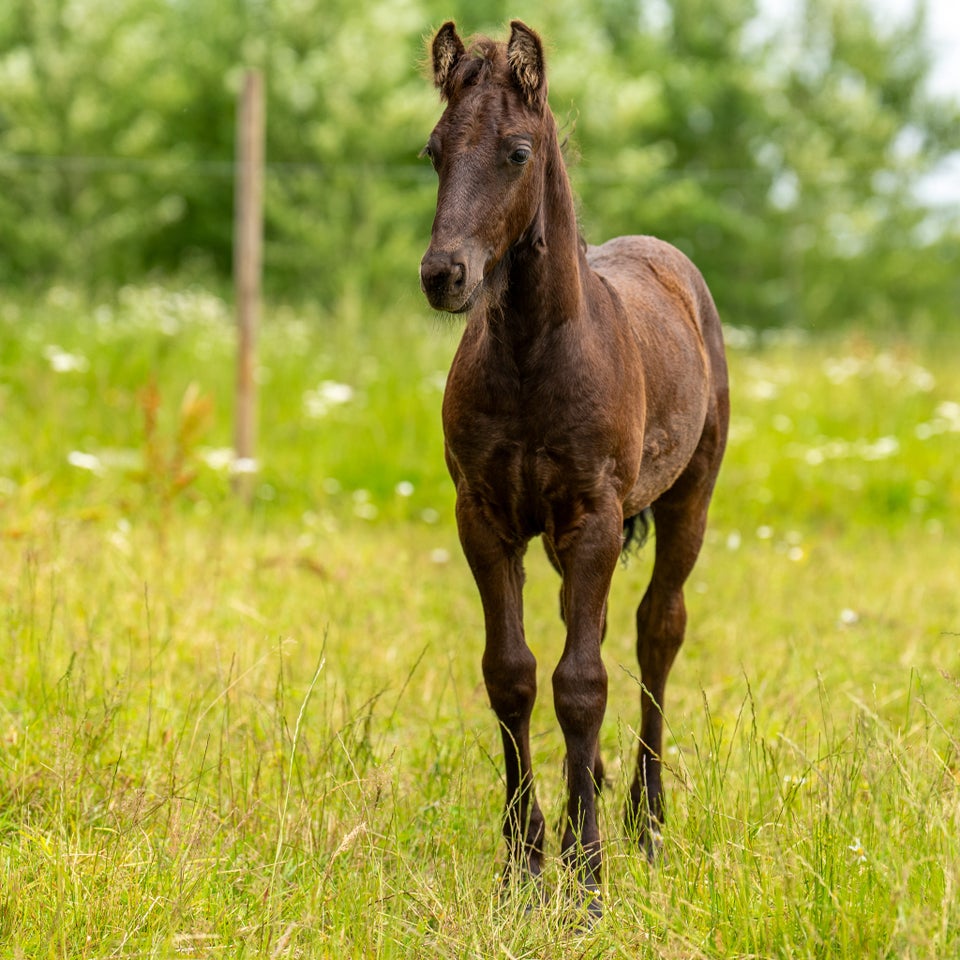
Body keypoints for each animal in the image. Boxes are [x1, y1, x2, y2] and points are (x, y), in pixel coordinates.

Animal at [418, 22, 728, 920]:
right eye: (433, 150)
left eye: (517, 152)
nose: (443, 275)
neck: (534, 352)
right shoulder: (485, 518)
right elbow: (515, 675)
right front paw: (524, 866)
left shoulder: (594, 518)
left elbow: (583, 682)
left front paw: (587, 877)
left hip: (688, 498)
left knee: (657, 632)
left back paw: (645, 825)